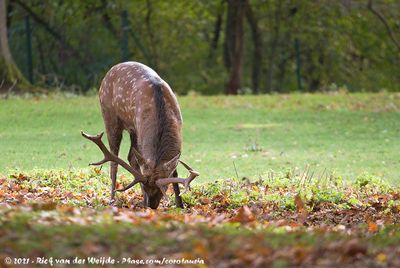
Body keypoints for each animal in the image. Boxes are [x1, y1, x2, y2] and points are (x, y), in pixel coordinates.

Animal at [81, 61, 200, 208]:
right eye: (145, 186)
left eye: (161, 189)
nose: (151, 206)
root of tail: (109, 72)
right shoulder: (140, 130)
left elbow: (174, 171)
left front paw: (180, 205)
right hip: (109, 117)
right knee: (114, 161)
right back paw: (112, 199)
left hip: (132, 130)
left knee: (131, 157)